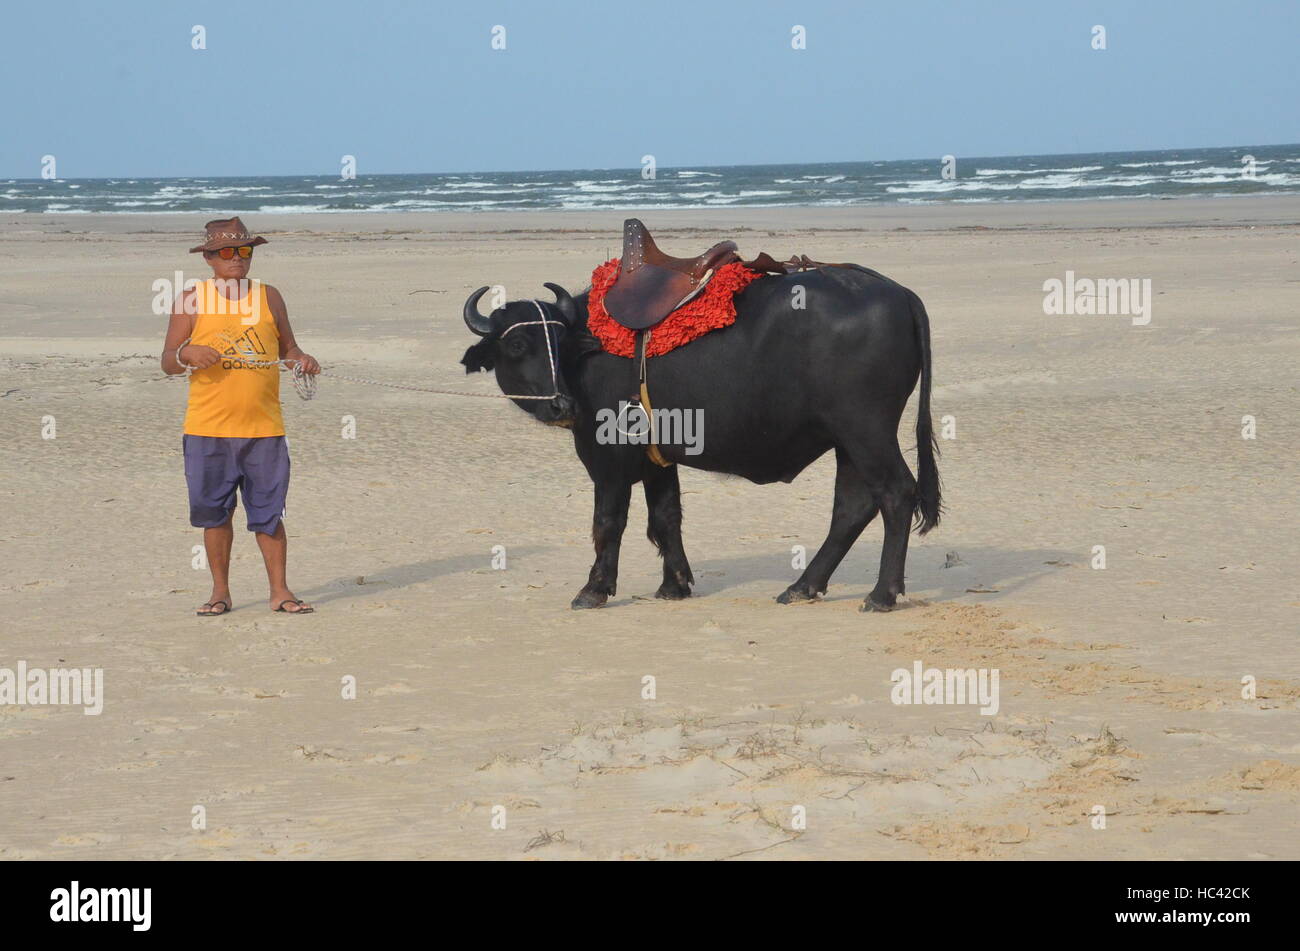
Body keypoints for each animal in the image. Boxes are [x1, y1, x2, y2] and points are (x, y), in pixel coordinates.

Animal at [462, 263, 941, 613]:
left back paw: (881, 594)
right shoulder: (657, 460)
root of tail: (897, 292)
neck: (589, 354)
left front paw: (593, 589)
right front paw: (674, 585)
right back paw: (803, 586)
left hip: (867, 432)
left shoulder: (609, 458)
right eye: (518, 344)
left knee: (897, 494)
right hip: (848, 442)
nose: (561, 405)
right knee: (852, 507)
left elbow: (608, 522)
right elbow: (665, 517)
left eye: (557, 341)